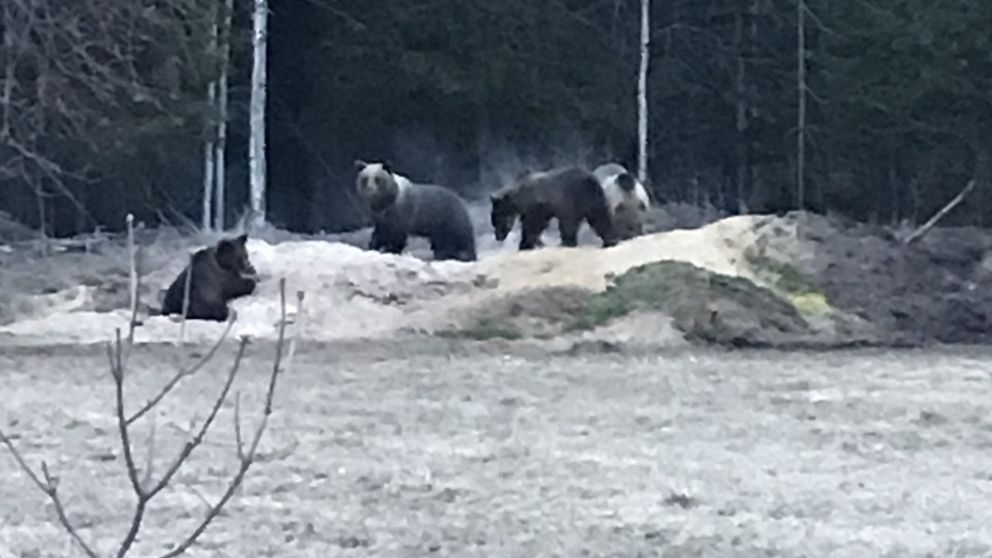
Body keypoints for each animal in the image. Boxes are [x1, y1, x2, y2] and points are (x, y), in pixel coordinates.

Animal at [490, 166, 620, 252]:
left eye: (496, 220)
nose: (498, 236)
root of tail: (593, 179)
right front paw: (537, 243)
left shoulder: (539, 204)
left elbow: (533, 224)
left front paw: (525, 244)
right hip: (593, 199)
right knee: (600, 217)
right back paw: (610, 240)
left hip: (574, 198)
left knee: (570, 222)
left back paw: (567, 242)